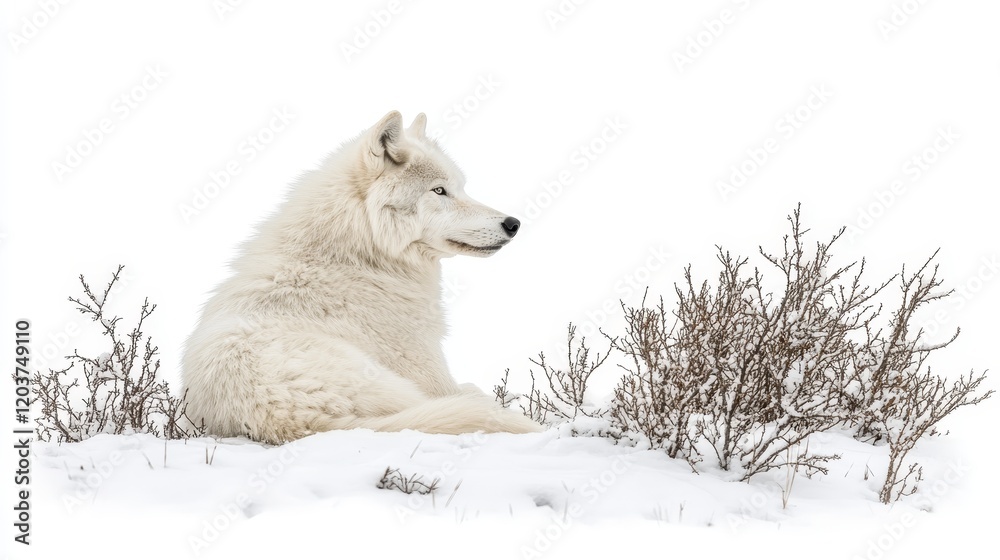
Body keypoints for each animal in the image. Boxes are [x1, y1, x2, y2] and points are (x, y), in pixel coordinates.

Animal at [181, 111, 542, 443]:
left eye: (461, 188)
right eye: (439, 190)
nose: (513, 224)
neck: (356, 256)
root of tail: (286, 420)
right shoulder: (433, 374)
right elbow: (470, 390)